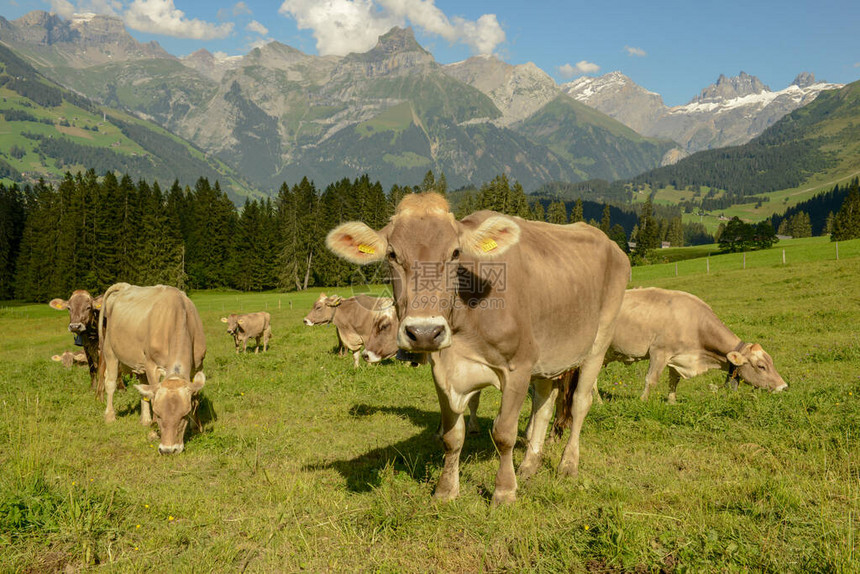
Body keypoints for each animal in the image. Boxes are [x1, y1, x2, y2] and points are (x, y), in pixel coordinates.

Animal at [98, 282, 207, 456]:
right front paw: (153, 430)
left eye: (184, 415)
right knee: (110, 382)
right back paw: (110, 416)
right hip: (110, 349)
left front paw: (196, 426)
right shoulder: (151, 365)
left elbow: (195, 397)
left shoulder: (198, 366)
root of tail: (124, 286)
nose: (168, 450)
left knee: (142, 388)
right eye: (159, 414)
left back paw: (145, 420)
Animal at [326, 192, 628, 504]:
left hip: (598, 342)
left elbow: (504, 433)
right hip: (548, 357)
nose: (424, 332)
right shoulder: (443, 372)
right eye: (392, 255)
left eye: (455, 253)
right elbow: (452, 437)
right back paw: (529, 465)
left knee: (580, 403)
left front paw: (504, 491)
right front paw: (446, 490)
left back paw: (568, 464)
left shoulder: (519, 367)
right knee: (543, 406)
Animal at [604, 288, 788, 404]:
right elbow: (651, 380)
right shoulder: (659, 352)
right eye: (761, 366)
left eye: (771, 362)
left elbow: (674, 381)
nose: (784, 387)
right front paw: (643, 402)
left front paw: (672, 402)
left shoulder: (677, 357)